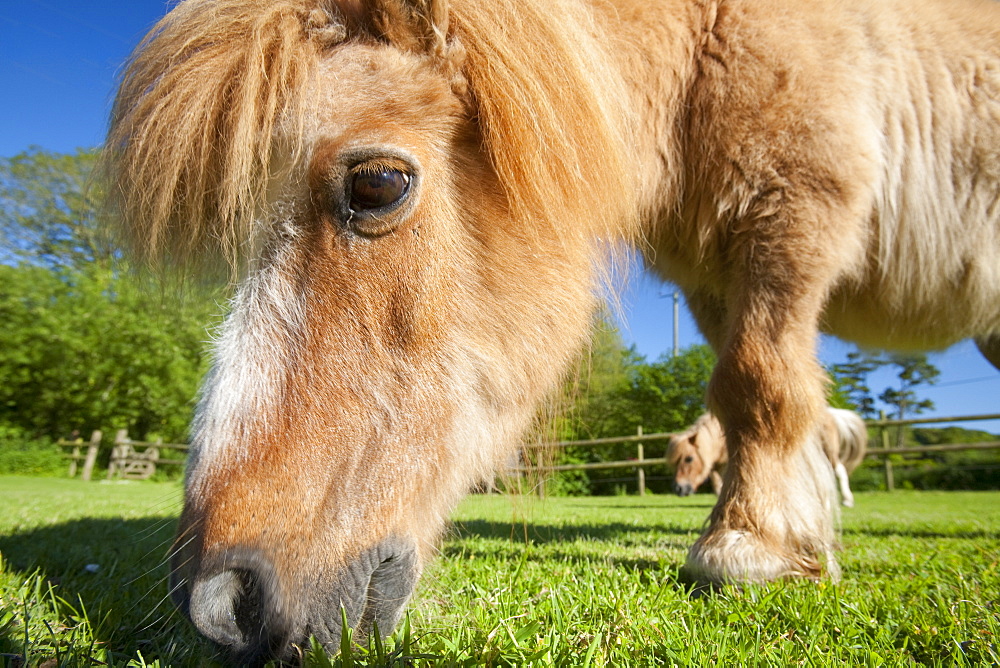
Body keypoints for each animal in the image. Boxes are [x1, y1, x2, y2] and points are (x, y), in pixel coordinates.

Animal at [672, 408, 868, 506]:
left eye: (688, 458)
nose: (678, 488)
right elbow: (717, 483)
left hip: (827, 451)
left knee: (839, 471)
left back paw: (847, 500)